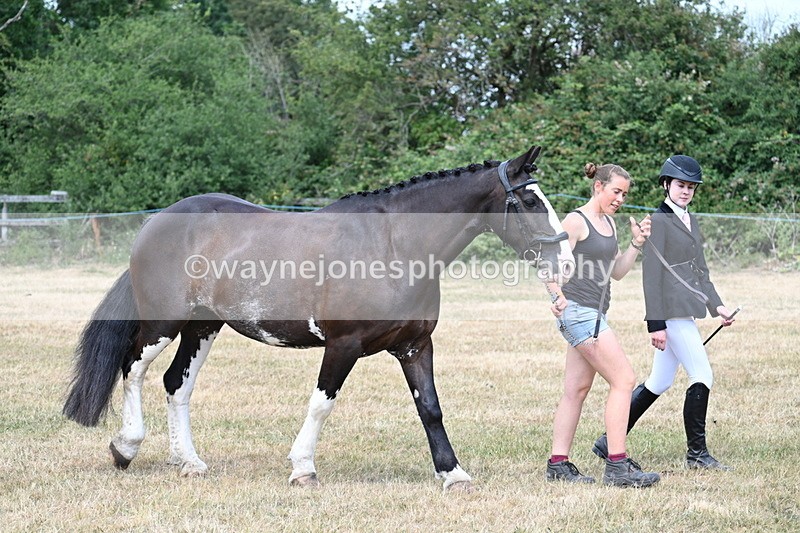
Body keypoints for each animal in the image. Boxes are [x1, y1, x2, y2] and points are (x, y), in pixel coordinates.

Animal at [62, 145, 573, 491]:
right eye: (531, 201)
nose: (566, 261)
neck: (394, 246)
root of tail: (157, 221)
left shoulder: (415, 346)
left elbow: (430, 408)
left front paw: (453, 474)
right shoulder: (343, 345)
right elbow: (321, 404)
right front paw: (302, 468)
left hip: (203, 327)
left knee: (176, 384)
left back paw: (188, 462)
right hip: (164, 324)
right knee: (133, 369)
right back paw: (126, 446)